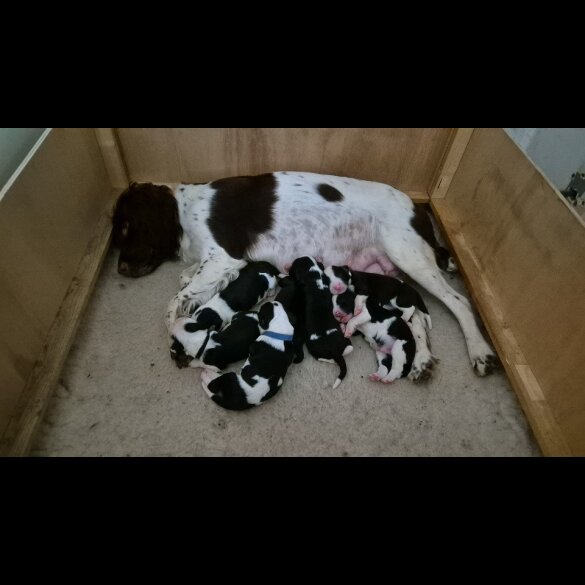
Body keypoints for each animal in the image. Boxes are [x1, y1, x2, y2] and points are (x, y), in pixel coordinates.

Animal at [288, 256, 352, 388]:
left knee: (323, 358)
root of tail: (333, 349)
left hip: (312, 348)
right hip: (342, 343)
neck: (313, 277)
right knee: (348, 349)